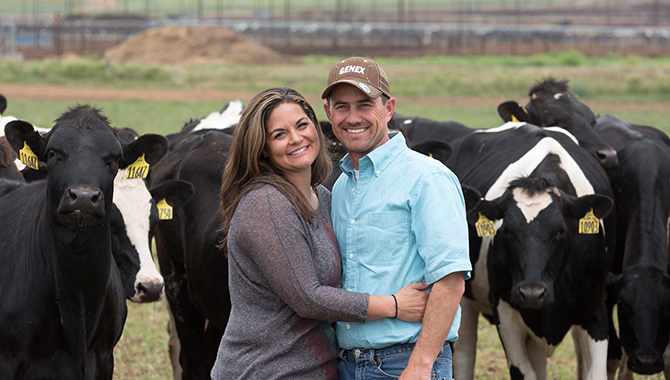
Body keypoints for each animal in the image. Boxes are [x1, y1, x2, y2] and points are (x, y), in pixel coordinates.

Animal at [454, 122, 616, 380]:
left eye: (561, 230)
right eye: (507, 231)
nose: (532, 293)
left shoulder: (595, 310)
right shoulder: (505, 313)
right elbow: (523, 372)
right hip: (466, 297)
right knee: (464, 353)